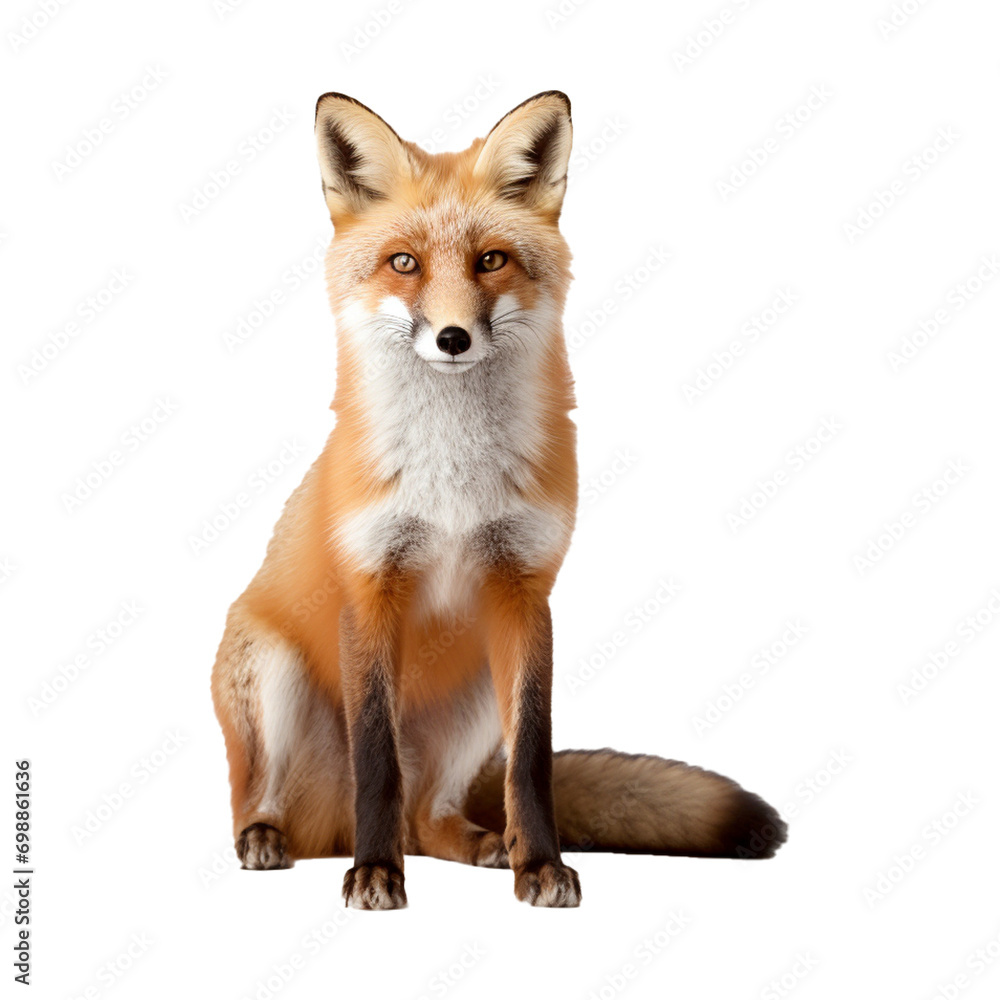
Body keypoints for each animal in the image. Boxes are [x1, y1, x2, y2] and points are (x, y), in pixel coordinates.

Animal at [211, 90, 787, 910]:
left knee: (430, 817)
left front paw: (538, 865)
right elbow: (375, 760)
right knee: (264, 793)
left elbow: (533, 761)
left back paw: (482, 842)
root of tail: (323, 829)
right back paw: (272, 838)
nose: (453, 337)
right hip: (270, 672)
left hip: (478, 692)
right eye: (404, 262)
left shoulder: (524, 592)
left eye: (491, 259)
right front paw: (375, 874)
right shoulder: (370, 588)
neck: (453, 480)